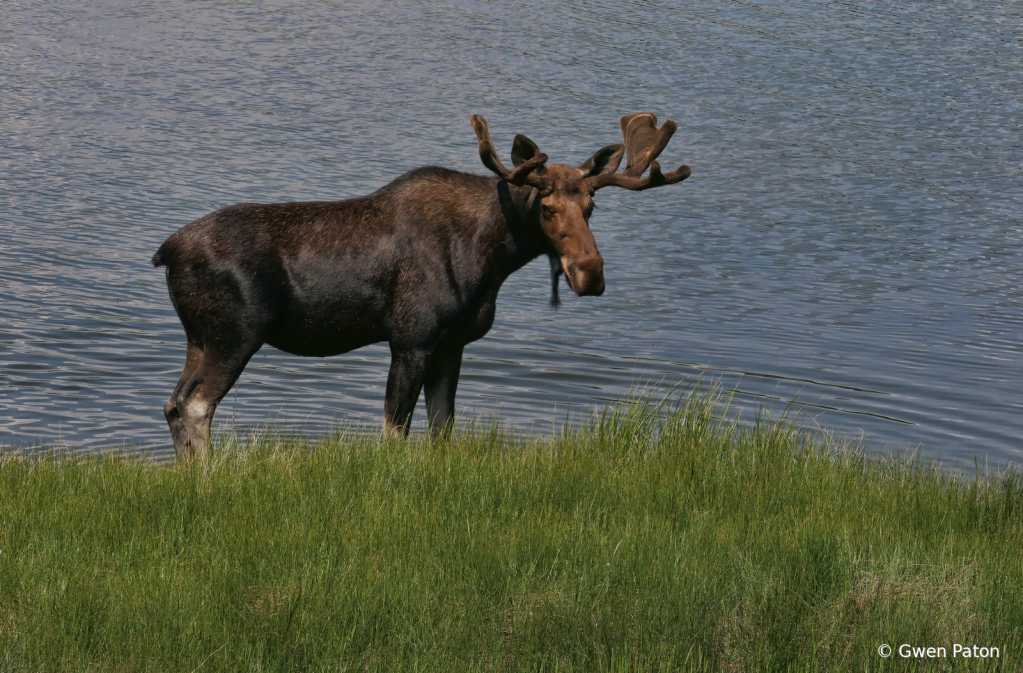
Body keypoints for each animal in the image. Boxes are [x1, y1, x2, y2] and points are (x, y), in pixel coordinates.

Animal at [151, 112, 691, 458]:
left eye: (591, 207)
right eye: (547, 207)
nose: (590, 272)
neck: (492, 258)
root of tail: (165, 252)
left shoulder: (452, 344)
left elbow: (442, 429)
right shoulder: (412, 339)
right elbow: (395, 432)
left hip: (199, 337)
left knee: (175, 403)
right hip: (236, 334)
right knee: (197, 405)